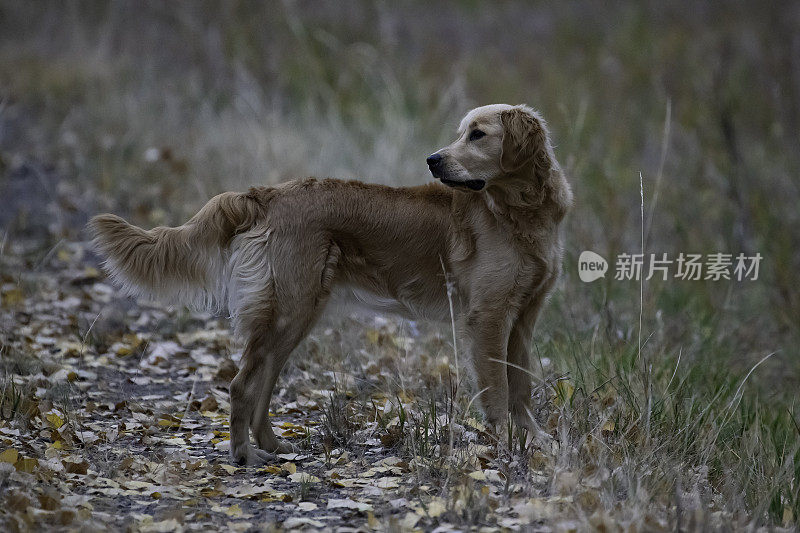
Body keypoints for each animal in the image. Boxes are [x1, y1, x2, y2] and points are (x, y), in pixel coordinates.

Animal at [90, 103, 572, 462]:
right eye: (462, 134)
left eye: (478, 135)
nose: (432, 160)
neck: (520, 213)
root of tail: (263, 195)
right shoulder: (487, 317)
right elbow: (499, 390)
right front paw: (507, 445)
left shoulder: (524, 317)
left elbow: (521, 388)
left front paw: (536, 442)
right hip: (288, 312)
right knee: (241, 384)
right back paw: (243, 455)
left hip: (296, 317)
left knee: (262, 384)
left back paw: (272, 444)